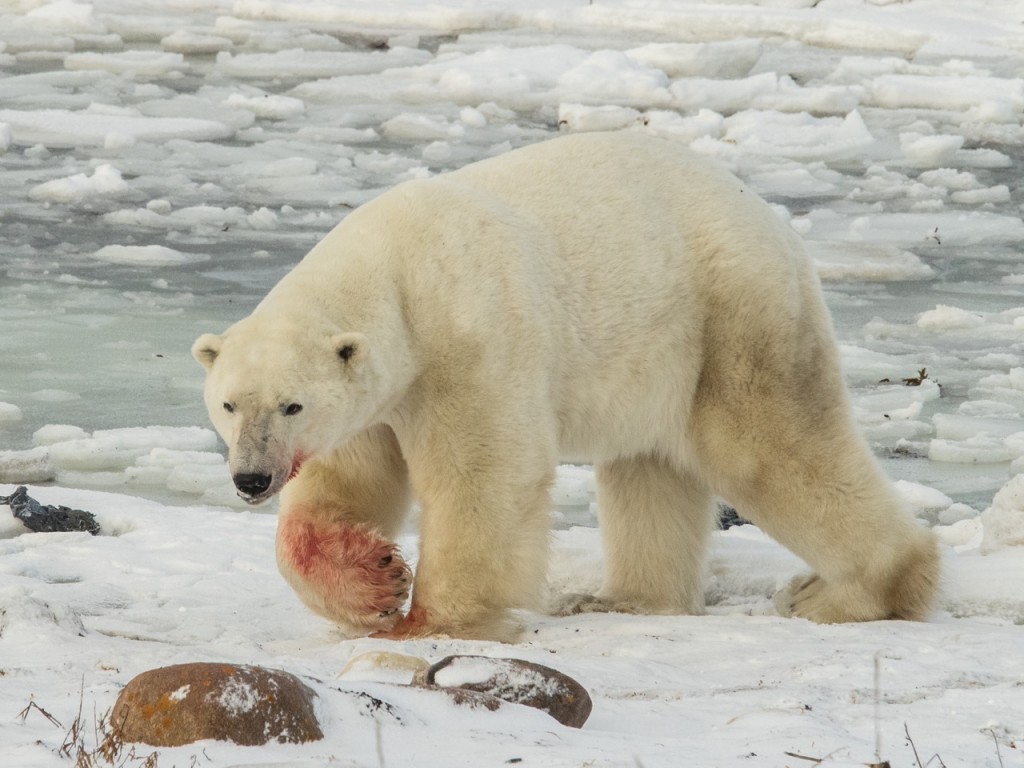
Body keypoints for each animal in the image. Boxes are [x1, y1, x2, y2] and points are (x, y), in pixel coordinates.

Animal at [192, 131, 940, 641]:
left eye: (291, 403)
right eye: (229, 403)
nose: (251, 479)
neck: (398, 271)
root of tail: (776, 224)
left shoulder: (469, 339)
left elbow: (485, 476)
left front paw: (430, 620)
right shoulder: (375, 395)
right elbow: (349, 484)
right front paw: (374, 579)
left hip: (730, 318)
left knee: (772, 447)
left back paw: (842, 594)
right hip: (663, 344)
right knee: (650, 467)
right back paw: (624, 599)